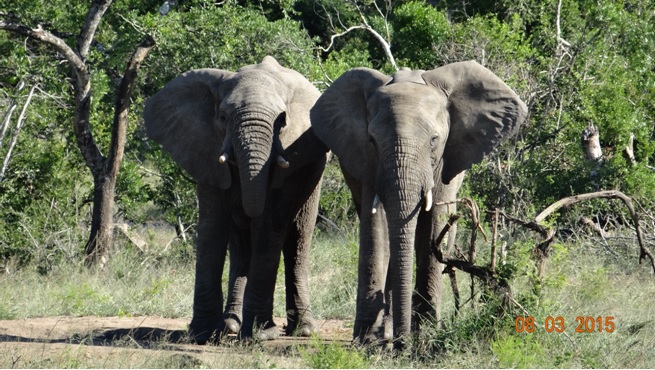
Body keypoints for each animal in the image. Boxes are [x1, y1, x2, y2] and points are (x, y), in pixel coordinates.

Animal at [144, 55, 328, 344]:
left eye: (282, 121)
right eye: (222, 117)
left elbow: (268, 225)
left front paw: (260, 335)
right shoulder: (206, 151)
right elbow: (212, 226)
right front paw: (202, 334)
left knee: (297, 239)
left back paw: (303, 330)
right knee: (241, 248)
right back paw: (230, 325)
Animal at [310, 60, 532, 346]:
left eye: (434, 141)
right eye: (372, 141)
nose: (401, 343)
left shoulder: (446, 161)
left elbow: (434, 224)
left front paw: (424, 334)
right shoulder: (368, 164)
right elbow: (376, 225)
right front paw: (368, 341)